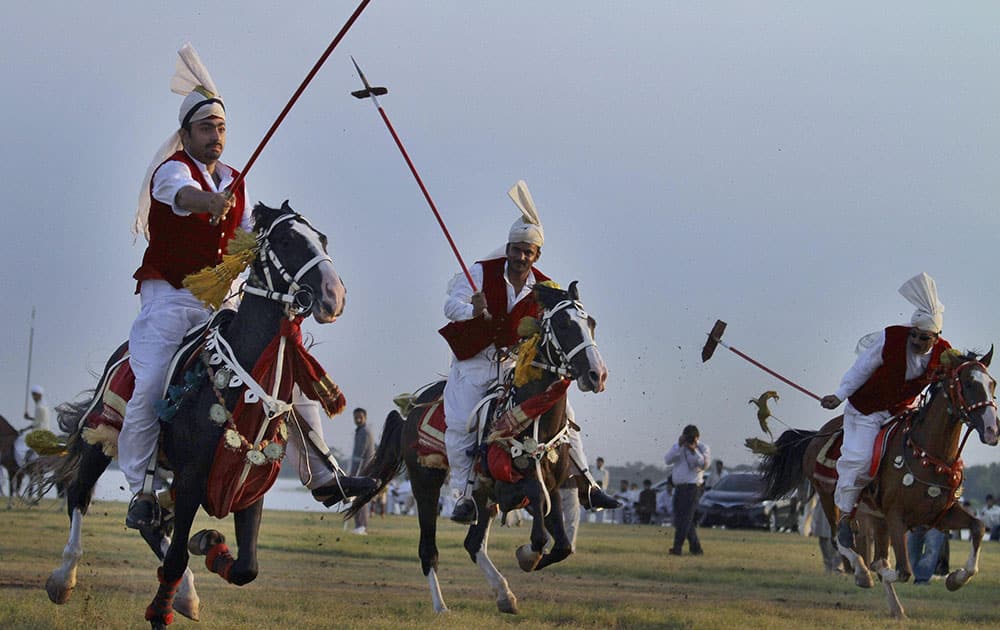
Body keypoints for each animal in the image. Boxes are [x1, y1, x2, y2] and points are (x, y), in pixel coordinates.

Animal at [45, 205, 346, 628]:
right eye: (287, 240)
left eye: (322, 239)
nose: (333, 296)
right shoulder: (192, 478)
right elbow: (174, 560)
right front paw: (161, 611)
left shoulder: (250, 482)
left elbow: (246, 567)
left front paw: (211, 544)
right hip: (100, 439)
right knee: (82, 495)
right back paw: (64, 579)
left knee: (154, 520)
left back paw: (186, 591)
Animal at [760, 350, 996, 624]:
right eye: (968, 383)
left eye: (992, 384)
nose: (992, 429)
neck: (928, 455)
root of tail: (817, 435)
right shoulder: (896, 517)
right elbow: (901, 570)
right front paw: (872, 572)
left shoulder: (938, 515)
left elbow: (978, 528)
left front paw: (955, 579)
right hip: (830, 497)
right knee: (839, 538)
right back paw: (862, 573)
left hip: (875, 516)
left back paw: (895, 607)